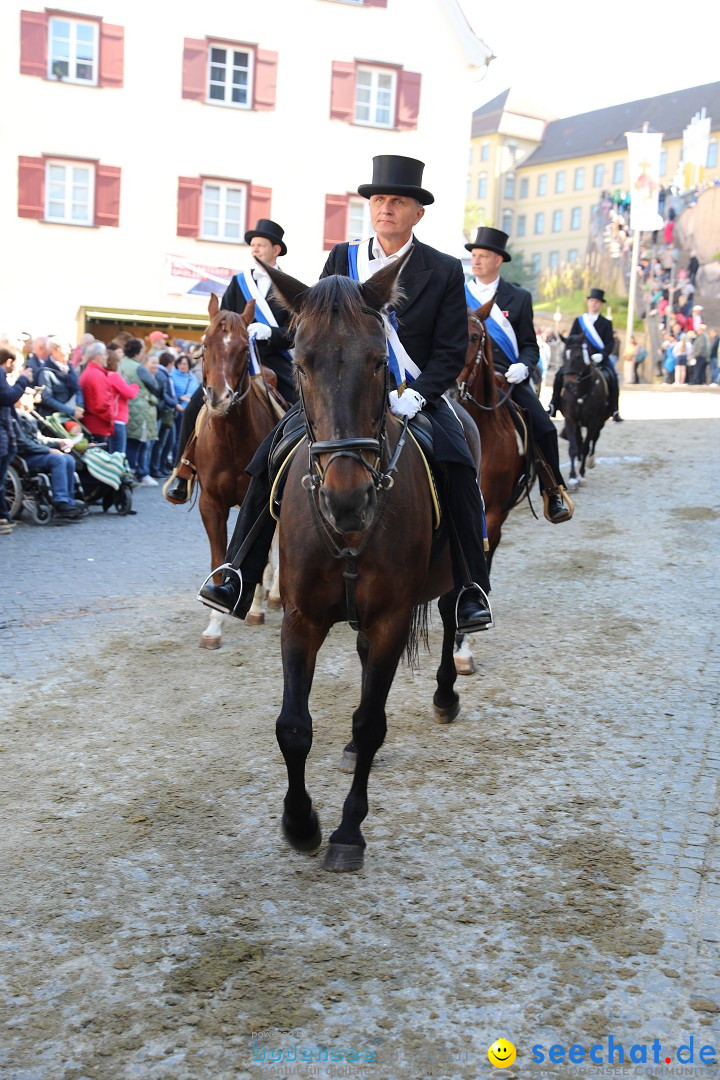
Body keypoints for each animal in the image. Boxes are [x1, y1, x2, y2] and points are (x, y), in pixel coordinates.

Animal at [194, 295, 284, 643]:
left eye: (245, 348)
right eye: (205, 343)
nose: (219, 397)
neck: (230, 438)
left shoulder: (259, 499)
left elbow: (257, 556)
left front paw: (255, 607)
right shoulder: (211, 504)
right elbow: (220, 558)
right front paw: (214, 623)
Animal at [259, 257, 483, 872]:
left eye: (379, 361)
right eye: (300, 362)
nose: (347, 498)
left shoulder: (390, 618)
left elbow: (372, 718)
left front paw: (346, 833)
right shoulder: (301, 618)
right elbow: (293, 727)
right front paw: (300, 823)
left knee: (452, 618)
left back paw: (446, 695)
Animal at [557, 332, 608, 486]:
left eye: (579, 356)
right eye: (563, 355)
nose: (568, 385)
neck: (580, 392)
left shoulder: (593, 422)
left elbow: (586, 447)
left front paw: (581, 474)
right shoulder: (570, 419)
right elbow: (573, 448)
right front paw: (573, 477)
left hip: (600, 422)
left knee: (594, 440)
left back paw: (590, 462)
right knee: (579, 441)